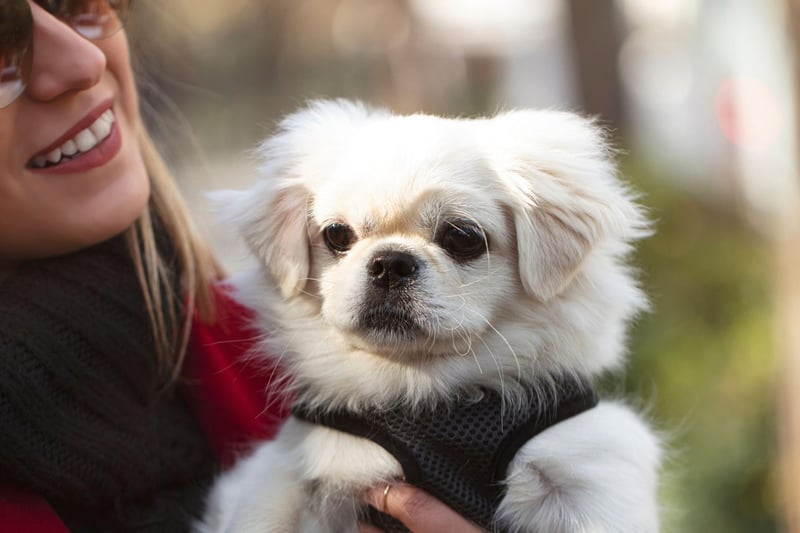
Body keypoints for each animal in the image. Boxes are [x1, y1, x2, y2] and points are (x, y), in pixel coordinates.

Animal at [200, 100, 664, 532]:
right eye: (337, 235)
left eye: (463, 237)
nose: (389, 262)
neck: (422, 388)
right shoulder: (291, 468)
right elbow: (262, 515)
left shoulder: (590, 473)